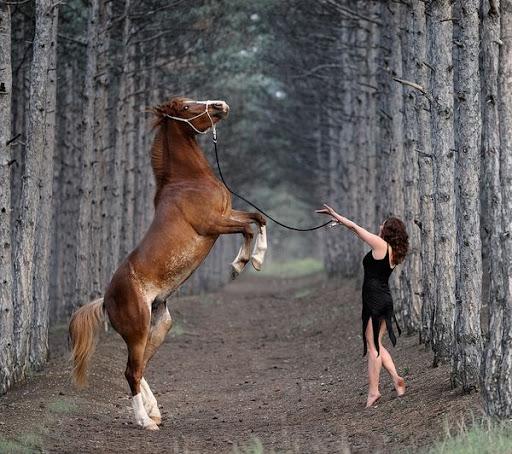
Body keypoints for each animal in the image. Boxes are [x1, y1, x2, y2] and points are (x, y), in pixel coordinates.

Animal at [69, 97, 266, 430]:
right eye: (186, 107)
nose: (220, 105)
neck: (189, 181)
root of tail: (106, 300)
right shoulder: (213, 224)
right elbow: (249, 226)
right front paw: (241, 263)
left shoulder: (226, 214)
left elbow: (257, 218)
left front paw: (253, 261)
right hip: (137, 330)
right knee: (131, 371)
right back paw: (145, 421)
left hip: (160, 325)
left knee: (140, 368)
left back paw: (154, 412)